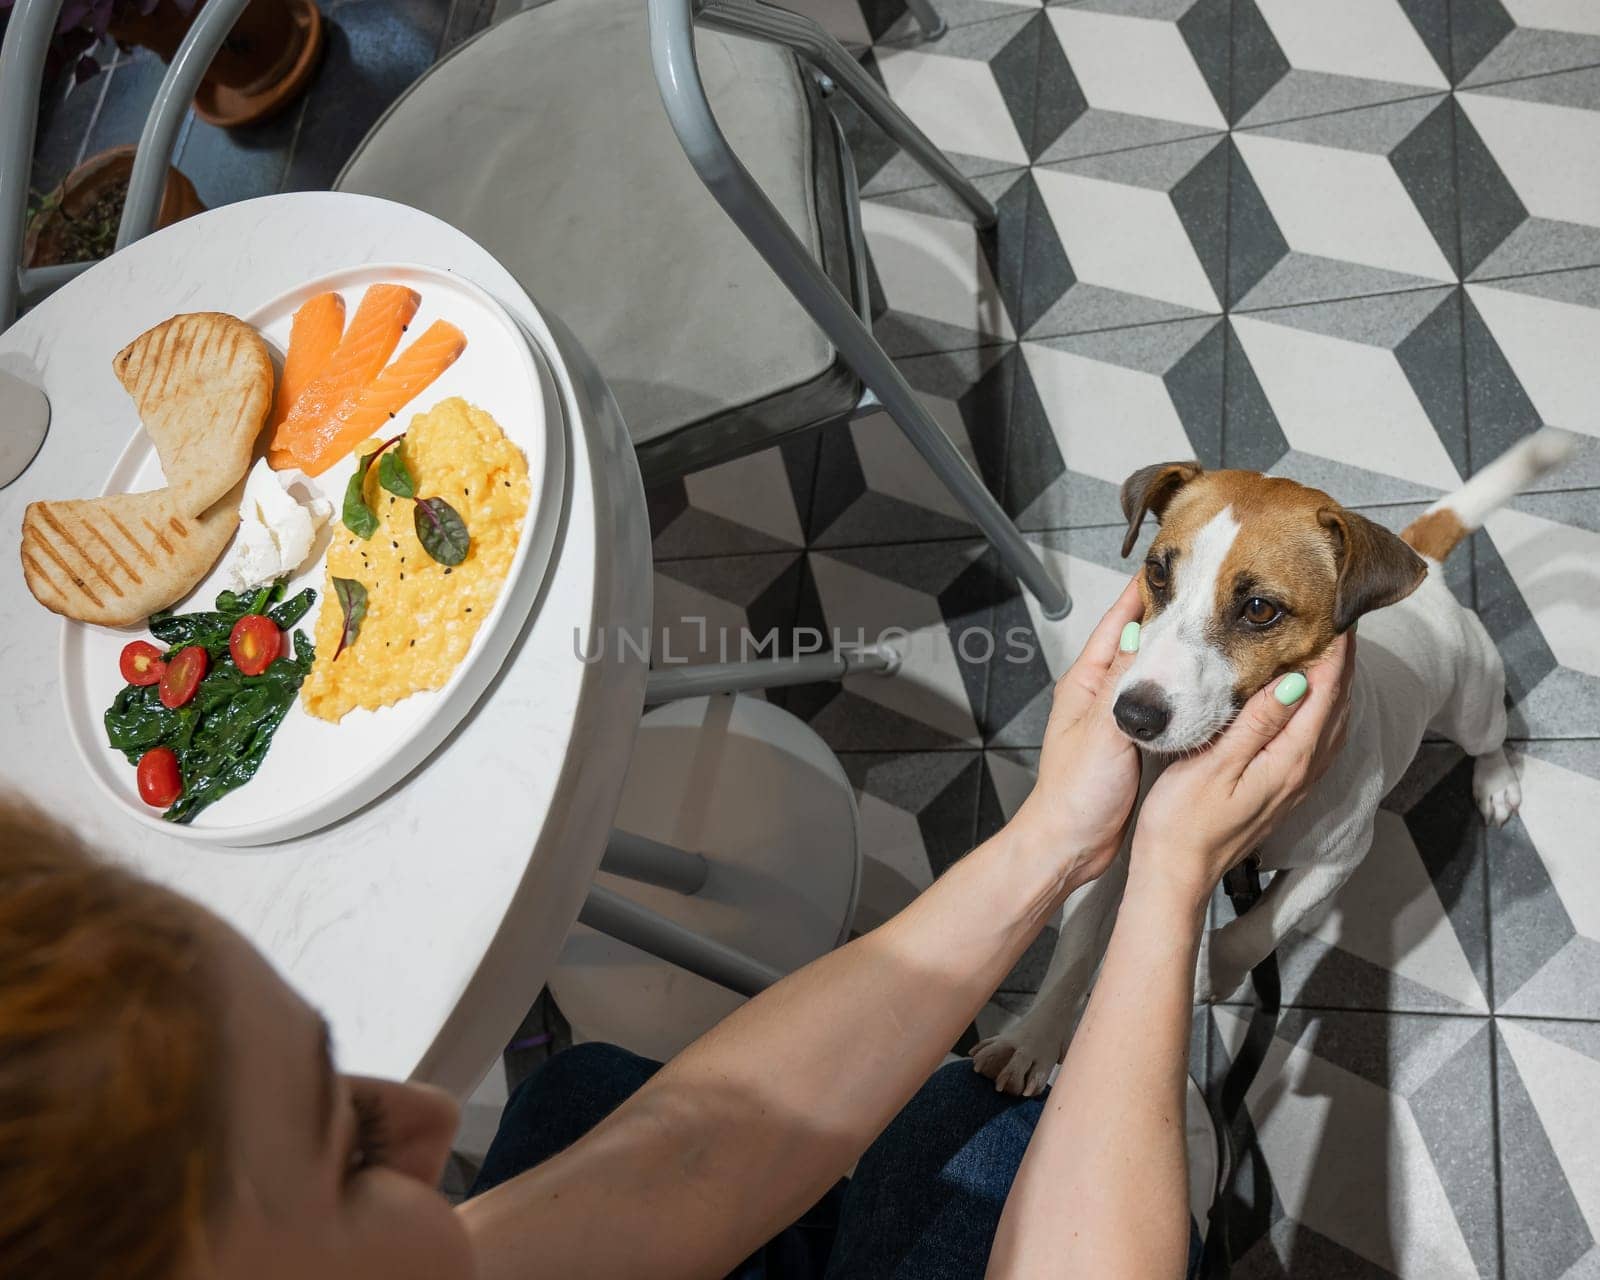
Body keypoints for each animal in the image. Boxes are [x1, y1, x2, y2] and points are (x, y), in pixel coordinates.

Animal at [966, 425, 1580, 1094]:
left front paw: (1209, 971)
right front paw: (1032, 1038)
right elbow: (1076, 944)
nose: (1132, 717)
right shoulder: (1122, 846)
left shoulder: (1337, 859)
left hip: (1471, 701)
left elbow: (1259, 928)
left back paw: (1495, 782)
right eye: (1156, 572)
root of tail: (1429, 571)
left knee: (1488, 738)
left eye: (1259, 609)